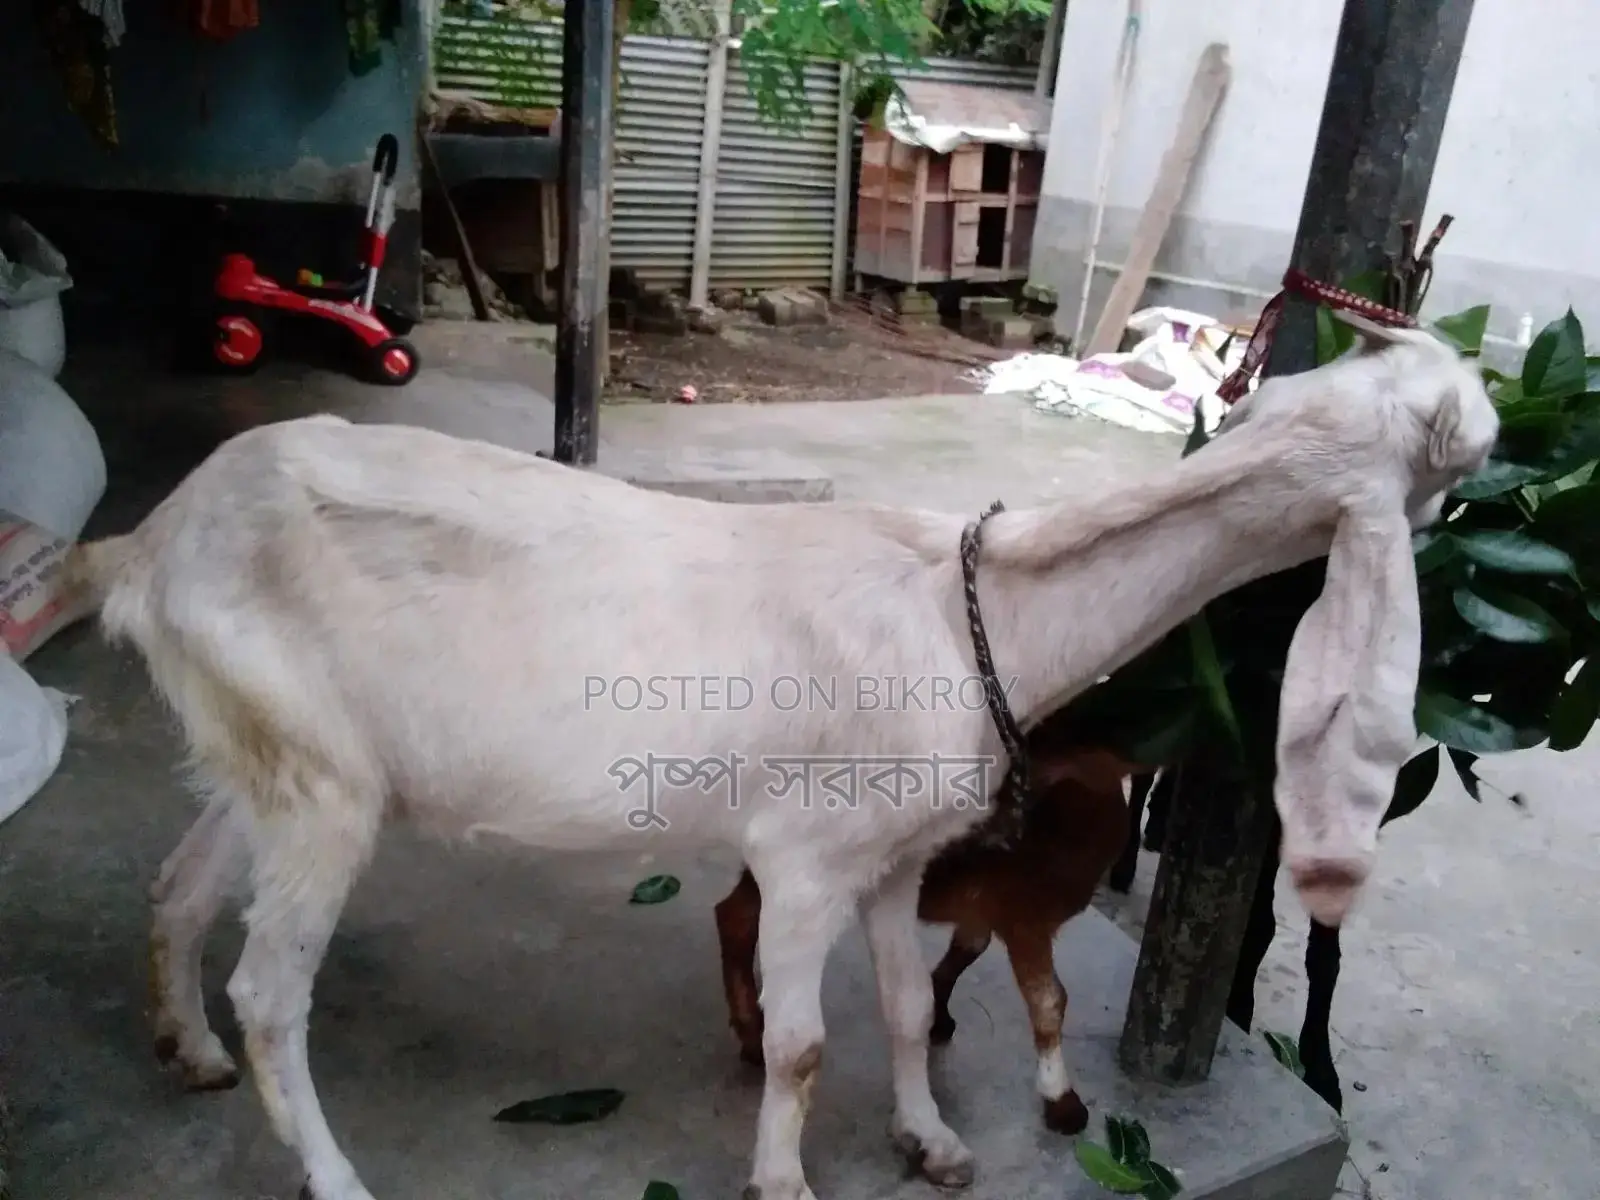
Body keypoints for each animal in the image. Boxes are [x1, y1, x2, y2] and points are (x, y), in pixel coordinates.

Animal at [715, 715, 1141, 1138]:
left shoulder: (986, 907)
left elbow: (969, 948)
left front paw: (938, 1013)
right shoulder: (1025, 917)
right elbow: (1050, 1001)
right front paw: (1062, 1101)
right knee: (735, 917)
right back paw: (752, 1034)